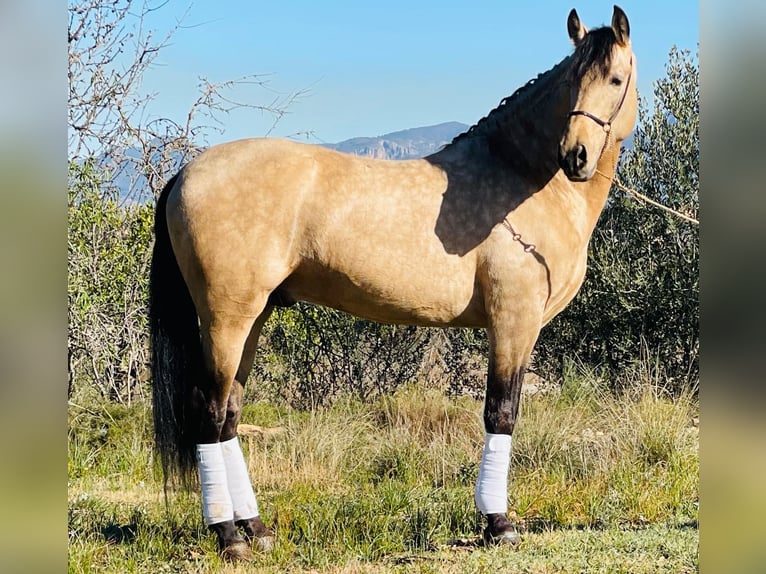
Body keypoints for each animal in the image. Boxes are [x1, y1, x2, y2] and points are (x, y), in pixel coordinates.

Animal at [150, 4, 640, 564]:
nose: (575, 157)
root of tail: (187, 172)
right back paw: (229, 537)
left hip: (253, 319)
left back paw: (255, 527)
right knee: (208, 412)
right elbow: (501, 413)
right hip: (226, 319)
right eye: (573, 81)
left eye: (616, 79)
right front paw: (497, 524)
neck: (519, 179)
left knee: (229, 415)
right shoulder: (514, 322)